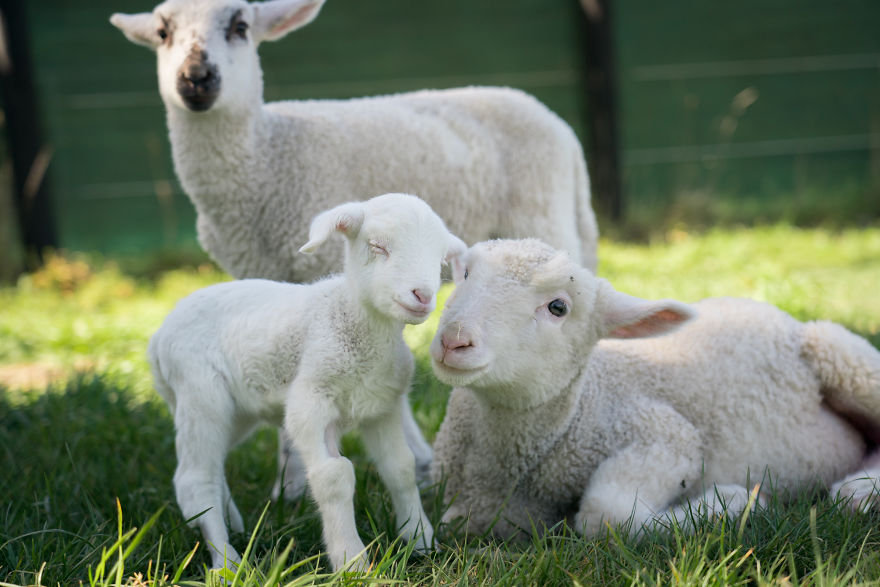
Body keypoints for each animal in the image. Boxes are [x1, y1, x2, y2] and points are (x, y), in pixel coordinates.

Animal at [110, 0, 599, 499]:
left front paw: (296, 482)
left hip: (542, 215)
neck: (263, 155)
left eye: (240, 26)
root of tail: (554, 120)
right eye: (162, 32)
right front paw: (290, 485)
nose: (196, 78)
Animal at [148, 193, 465, 570]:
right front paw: (351, 561)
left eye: (440, 260)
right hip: (200, 393)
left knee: (211, 467)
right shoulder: (309, 402)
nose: (423, 296)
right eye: (377, 246)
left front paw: (422, 542)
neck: (355, 324)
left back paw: (233, 525)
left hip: (235, 411)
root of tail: (157, 339)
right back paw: (227, 563)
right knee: (194, 480)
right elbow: (333, 477)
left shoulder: (380, 407)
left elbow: (400, 468)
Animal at [429, 238, 880, 539]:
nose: (454, 339)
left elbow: (605, 515)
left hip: (842, 355)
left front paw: (730, 503)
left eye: (558, 307)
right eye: (465, 274)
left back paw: (858, 492)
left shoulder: (664, 432)